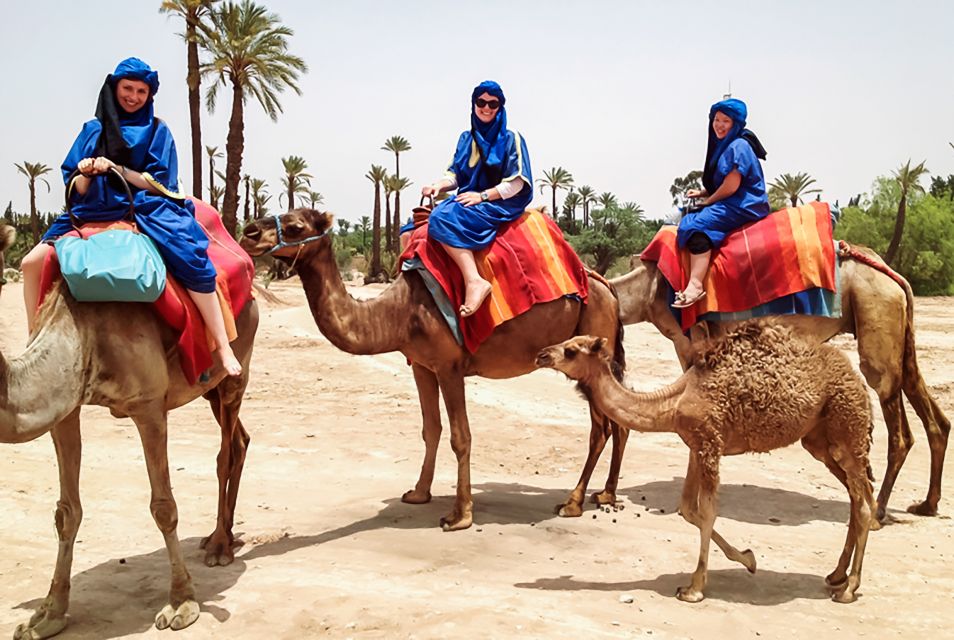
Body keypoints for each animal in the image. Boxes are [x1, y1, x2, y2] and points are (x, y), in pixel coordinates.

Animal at [4, 286, 256, 640]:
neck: (79, 331)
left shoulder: (148, 406)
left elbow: (163, 508)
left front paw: (181, 604)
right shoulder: (66, 408)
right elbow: (66, 513)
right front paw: (47, 616)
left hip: (236, 369)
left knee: (226, 450)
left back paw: (220, 546)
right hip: (210, 392)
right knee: (239, 441)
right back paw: (223, 537)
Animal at [238, 209, 624, 528]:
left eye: (295, 226)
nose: (249, 231)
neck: (400, 313)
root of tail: (606, 287)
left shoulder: (449, 365)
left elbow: (460, 436)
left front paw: (460, 514)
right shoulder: (421, 366)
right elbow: (431, 429)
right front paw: (418, 493)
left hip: (589, 345)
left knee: (600, 428)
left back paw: (572, 502)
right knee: (615, 422)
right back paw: (605, 494)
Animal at [532, 322, 872, 604]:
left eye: (571, 350)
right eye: (567, 341)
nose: (541, 354)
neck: (673, 402)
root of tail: (858, 379)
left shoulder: (710, 444)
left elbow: (707, 511)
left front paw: (694, 588)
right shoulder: (696, 446)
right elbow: (687, 509)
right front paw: (748, 558)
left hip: (848, 430)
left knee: (863, 506)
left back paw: (849, 589)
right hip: (819, 441)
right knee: (855, 499)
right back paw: (836, 575)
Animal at [600, 250, 948, 520]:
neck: (646, 291)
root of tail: (895, 278)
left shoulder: (690, 340)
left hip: (875, 312)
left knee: (895, 419)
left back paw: (880, 509)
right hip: (896, 328)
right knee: (929, 409)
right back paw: (926, 505)